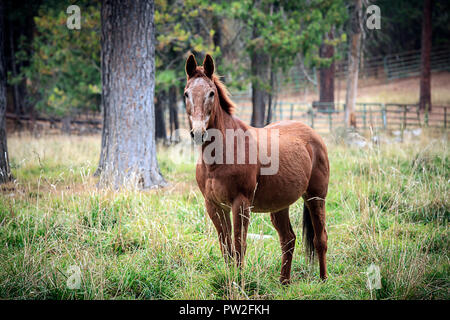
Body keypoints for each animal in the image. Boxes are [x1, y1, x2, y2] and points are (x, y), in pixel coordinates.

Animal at [184, 53, 330, 284]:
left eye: (211, 93)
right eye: (186, 93)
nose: (198, 133)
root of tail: (313, 135)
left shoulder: (240, 204)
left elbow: (239, 246)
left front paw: (239, 283)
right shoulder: (214, 206)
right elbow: (226, 248)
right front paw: (230, 281)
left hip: (316, 197)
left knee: (320, 238)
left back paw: (323, 280)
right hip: (280, 205)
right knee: (288, 239)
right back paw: (284, 283)